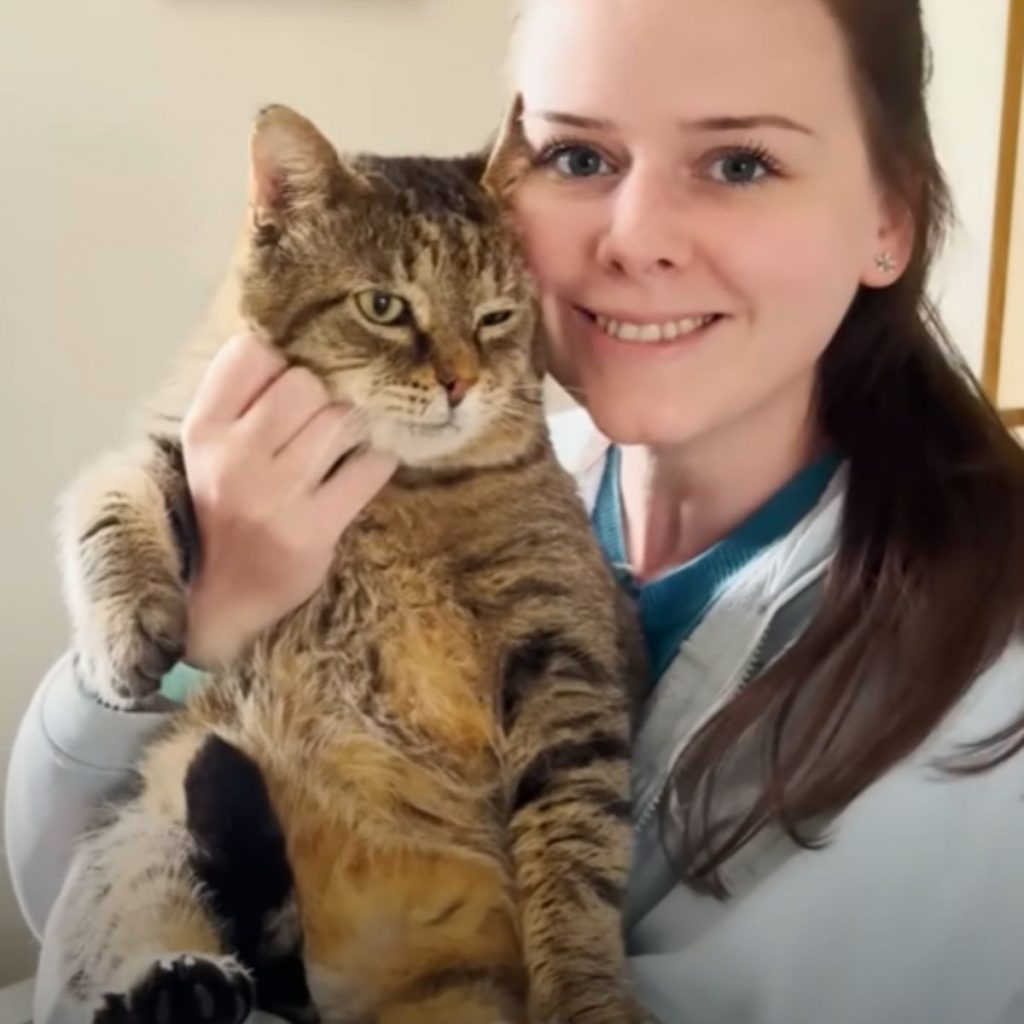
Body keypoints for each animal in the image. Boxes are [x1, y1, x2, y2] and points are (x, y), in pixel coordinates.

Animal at [54, 105, 647, 1024]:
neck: (393, 490)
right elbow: (107, 501)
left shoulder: (565, 651)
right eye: (384, 307)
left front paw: (586, 996)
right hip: (146, 832)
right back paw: (178, 985)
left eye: (496, 316)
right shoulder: (175, 440)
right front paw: (121, 640)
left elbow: (577, 856)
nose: (459, 382)